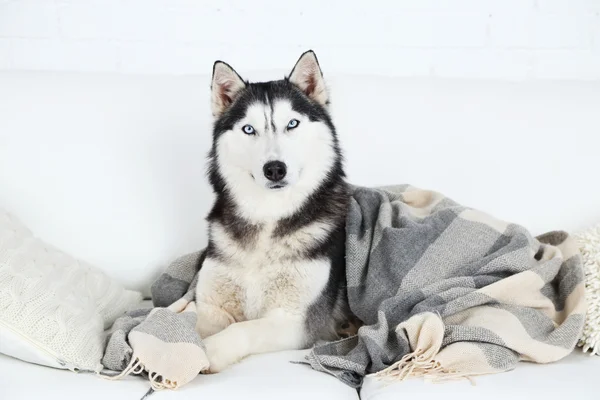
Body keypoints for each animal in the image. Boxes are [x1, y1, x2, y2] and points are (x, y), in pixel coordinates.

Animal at [197, 51, 354, 374]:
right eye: (248, 129)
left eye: (292, 124)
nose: (275, 169)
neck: (269, 217)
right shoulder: (209, 306)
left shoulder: (297, 321)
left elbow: (243, 329)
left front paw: (210, 351)